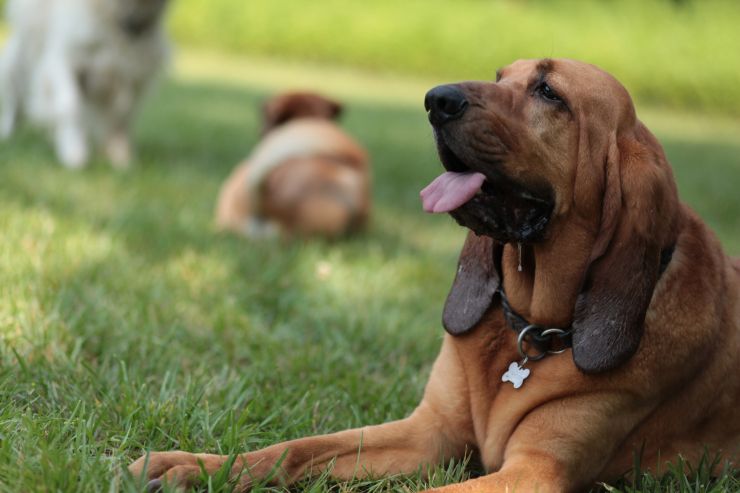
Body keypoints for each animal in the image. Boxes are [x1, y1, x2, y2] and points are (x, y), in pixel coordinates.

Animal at [0, 0, 171, 168]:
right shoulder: (64, 59)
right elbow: (69, 105)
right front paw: (74, 151)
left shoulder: (135, 75)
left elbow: (122, 118)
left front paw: (121, 158)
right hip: (26, 52)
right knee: (14, 88)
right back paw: (8, 132)